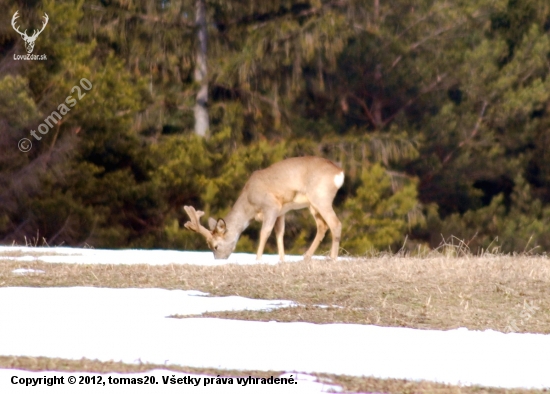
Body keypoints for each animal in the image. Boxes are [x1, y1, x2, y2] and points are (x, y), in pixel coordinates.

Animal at [183, 157, 342, 262]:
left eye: (215, 246)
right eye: (208, 245)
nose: (218, 260)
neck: (250, 205)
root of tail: (339, 173)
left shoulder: (271, 206)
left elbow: (264, 232)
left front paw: (258, 259)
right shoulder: (281, 212)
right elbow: (279, 233)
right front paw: (282, 260)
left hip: (321, 197)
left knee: (336, 224)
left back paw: (332, 258)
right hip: (313, 205)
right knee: (322, 226)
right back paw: (307, 256)